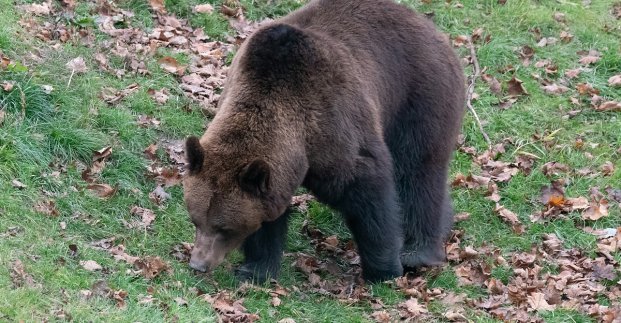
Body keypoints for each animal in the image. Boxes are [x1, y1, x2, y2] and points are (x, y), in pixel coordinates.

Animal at [184, 0, 464, 284]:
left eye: (224, 228)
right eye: (196, 220)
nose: (198, 264)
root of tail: (432, 29)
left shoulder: (335, 127)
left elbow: (369, 193)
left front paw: (383, 270)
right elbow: (269, 215)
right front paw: (255, 269)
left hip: (419, 97)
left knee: (417, 171)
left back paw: (416, 253)